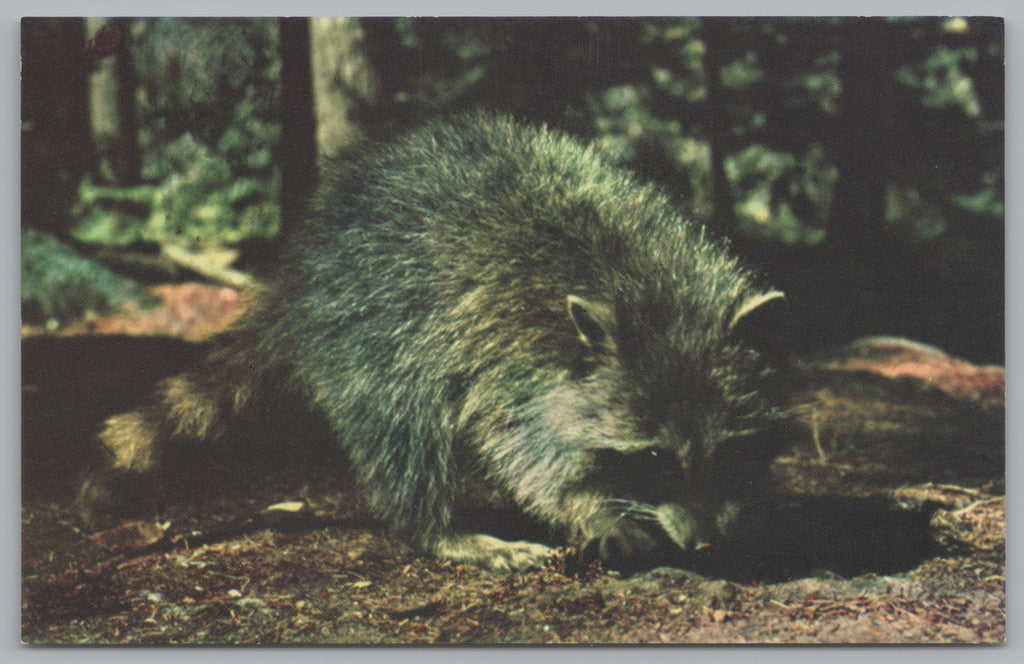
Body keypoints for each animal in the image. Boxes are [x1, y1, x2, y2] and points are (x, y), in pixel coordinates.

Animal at [81, 112, 790, 569]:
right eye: (655, 459)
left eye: (728, 450)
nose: (706, 545)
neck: (651, 291)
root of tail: (296, 276)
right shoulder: (517, 360)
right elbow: (523, 450)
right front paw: (591, 505)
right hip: (371, 328)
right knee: (403, 428)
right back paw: (438, 530)